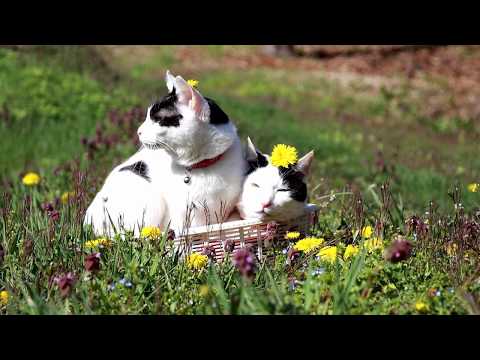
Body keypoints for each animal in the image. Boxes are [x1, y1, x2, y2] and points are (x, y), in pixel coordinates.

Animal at [84, 71, 246, 238]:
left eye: (157, 119)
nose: (138, 131)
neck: (202, 166)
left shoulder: (228, 210)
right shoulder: (187, 214)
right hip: (150, 200)